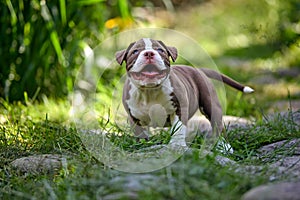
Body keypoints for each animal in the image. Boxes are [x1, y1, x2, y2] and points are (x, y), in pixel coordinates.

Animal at [115, 38, 253, 147]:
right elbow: (140, 133)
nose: (149, 53)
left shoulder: (180, 108)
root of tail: (198, 70)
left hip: (210, 104)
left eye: (160, 50)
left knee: (218, 127)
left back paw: (225, 147)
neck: (150, 90)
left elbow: (178, 129)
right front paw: (143, 144)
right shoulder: (133, 116)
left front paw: (176, 145)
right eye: (135, 51)